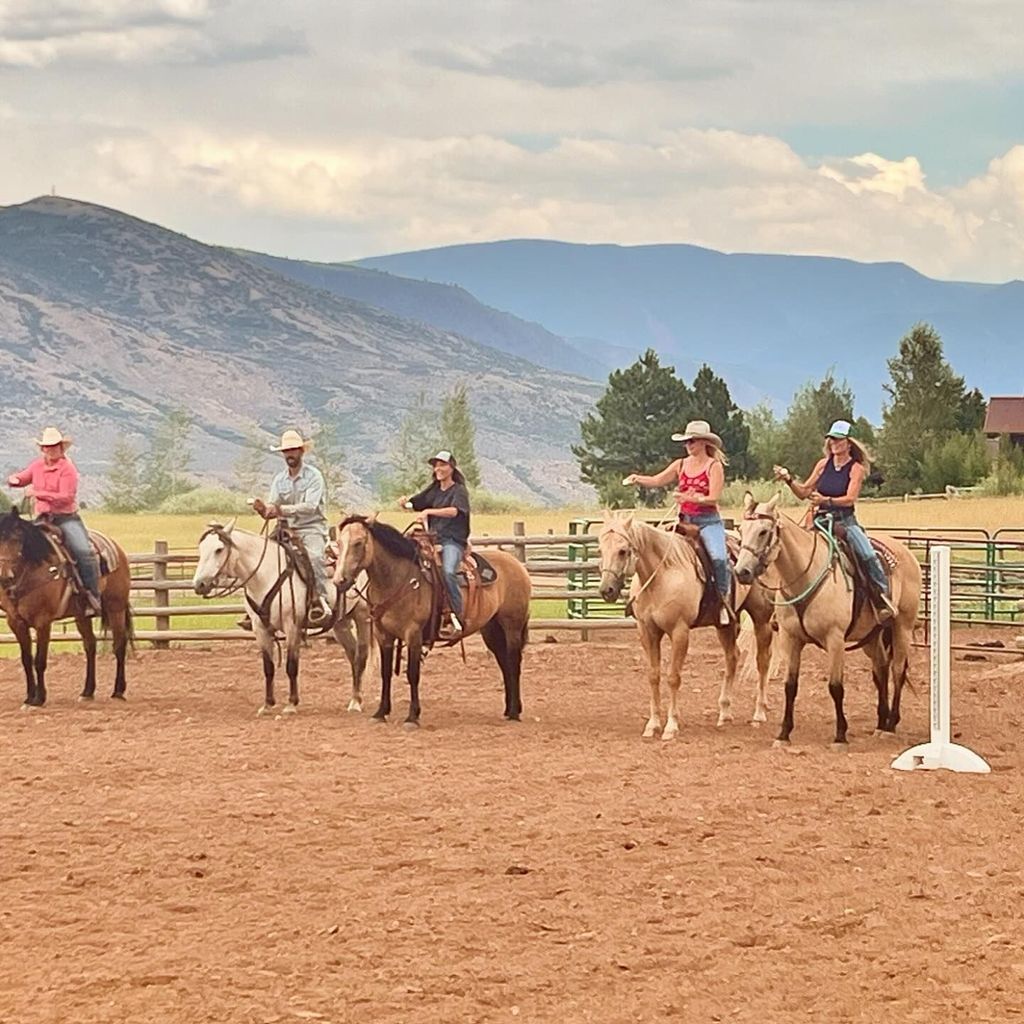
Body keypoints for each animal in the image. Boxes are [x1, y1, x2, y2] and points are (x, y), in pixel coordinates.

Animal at [0, 507, 133, 708]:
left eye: (17, 539)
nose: (4, 577)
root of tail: (116, 547)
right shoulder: (16, 622)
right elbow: (26, 660)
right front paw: (29, 697)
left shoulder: (43, 621)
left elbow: (39, 660)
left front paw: (39, 698)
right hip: (81, 615)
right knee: (90, 645)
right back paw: (87, 691)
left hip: (115, 607)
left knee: (119, 645)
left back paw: (118, 691)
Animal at [192, 524, 376, 716]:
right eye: (201, 549)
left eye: (219, 549)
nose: (199, 585)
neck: (266, 575)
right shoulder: (260, 628)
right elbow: (268, 667)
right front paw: (267, 705)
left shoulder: (292, 626)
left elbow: (291, 666)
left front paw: (291, 704)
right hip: (340, 623)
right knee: (352, 655)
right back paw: (355, 697)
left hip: (362, 616)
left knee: (361, 656)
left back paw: (356, 702)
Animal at [331, 520, 532, 729]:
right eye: (339, 542)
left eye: (358, 543)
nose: (339, 580)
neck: (398, 578)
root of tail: (517, 564)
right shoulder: (383, 634)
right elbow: (385, 673)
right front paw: (381, 712)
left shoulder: (414, 634)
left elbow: (413, 674)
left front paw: (412, 716)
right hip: (492, 629)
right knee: (504, 664)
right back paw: (509, 710)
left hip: (512, 626)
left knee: (514, 663)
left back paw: (515, 712)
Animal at [598, 509, 770, 737]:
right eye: (600, 550)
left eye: (623, 551)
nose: (606, 590)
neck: (662, 575)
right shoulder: (647, 631)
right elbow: (653, 676)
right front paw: (653, 724)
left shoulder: (679, 631)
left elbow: (673, 677)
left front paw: (671, 726)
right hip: (725, 624)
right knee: (732, 657)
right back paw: (724, 713)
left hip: (761, 617)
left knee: (762, 661)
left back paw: (759, 713)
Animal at [733, 491, 925, 749]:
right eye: (742, 530)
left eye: (763, 531)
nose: (741, 571)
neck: (805, 574)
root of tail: (907, 553)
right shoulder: (790, 638)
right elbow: (790, 686)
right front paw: (783, 734)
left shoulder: (835, 639)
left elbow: (836, 687)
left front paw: (840, 735)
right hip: (871, 636)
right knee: (881, 670)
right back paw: (880, 723)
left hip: (902, 626)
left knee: (897, 671)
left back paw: (890, 725)